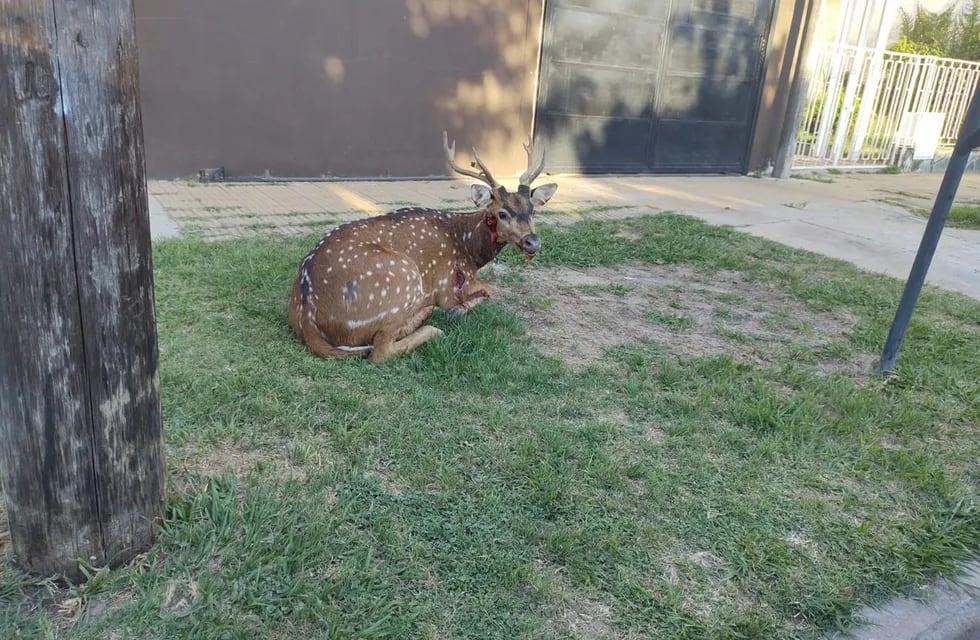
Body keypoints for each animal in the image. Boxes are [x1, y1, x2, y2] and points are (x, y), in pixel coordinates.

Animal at [288, 132, 556, 362]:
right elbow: (490, 290)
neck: (468, 248)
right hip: (401, 276)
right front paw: (457, 310)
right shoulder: (447, 285)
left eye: (532, 210)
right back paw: (429, 320)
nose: (533, 242)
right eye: (502, 213)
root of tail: (307, 319)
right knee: (380, 350)